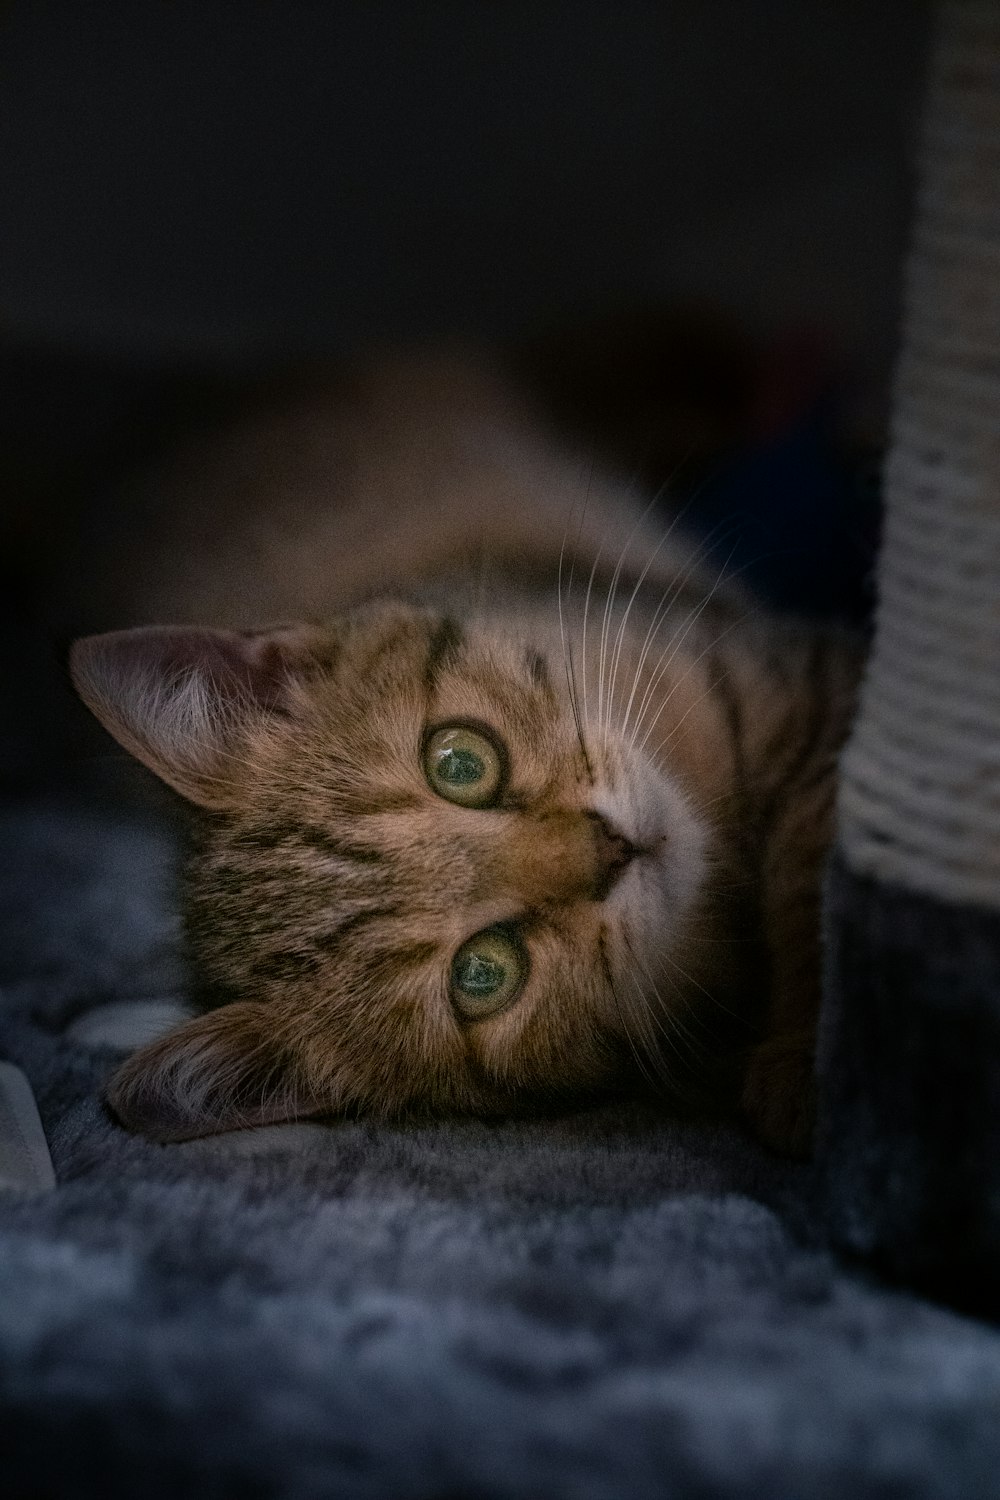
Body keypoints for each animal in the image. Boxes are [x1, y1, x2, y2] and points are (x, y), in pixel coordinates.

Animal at [68, 345, 863, 1152]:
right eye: (482, 974)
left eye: (459, 763)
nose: (612, 847)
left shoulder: (786, 675)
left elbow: (808, 861)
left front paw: (807, 1052)